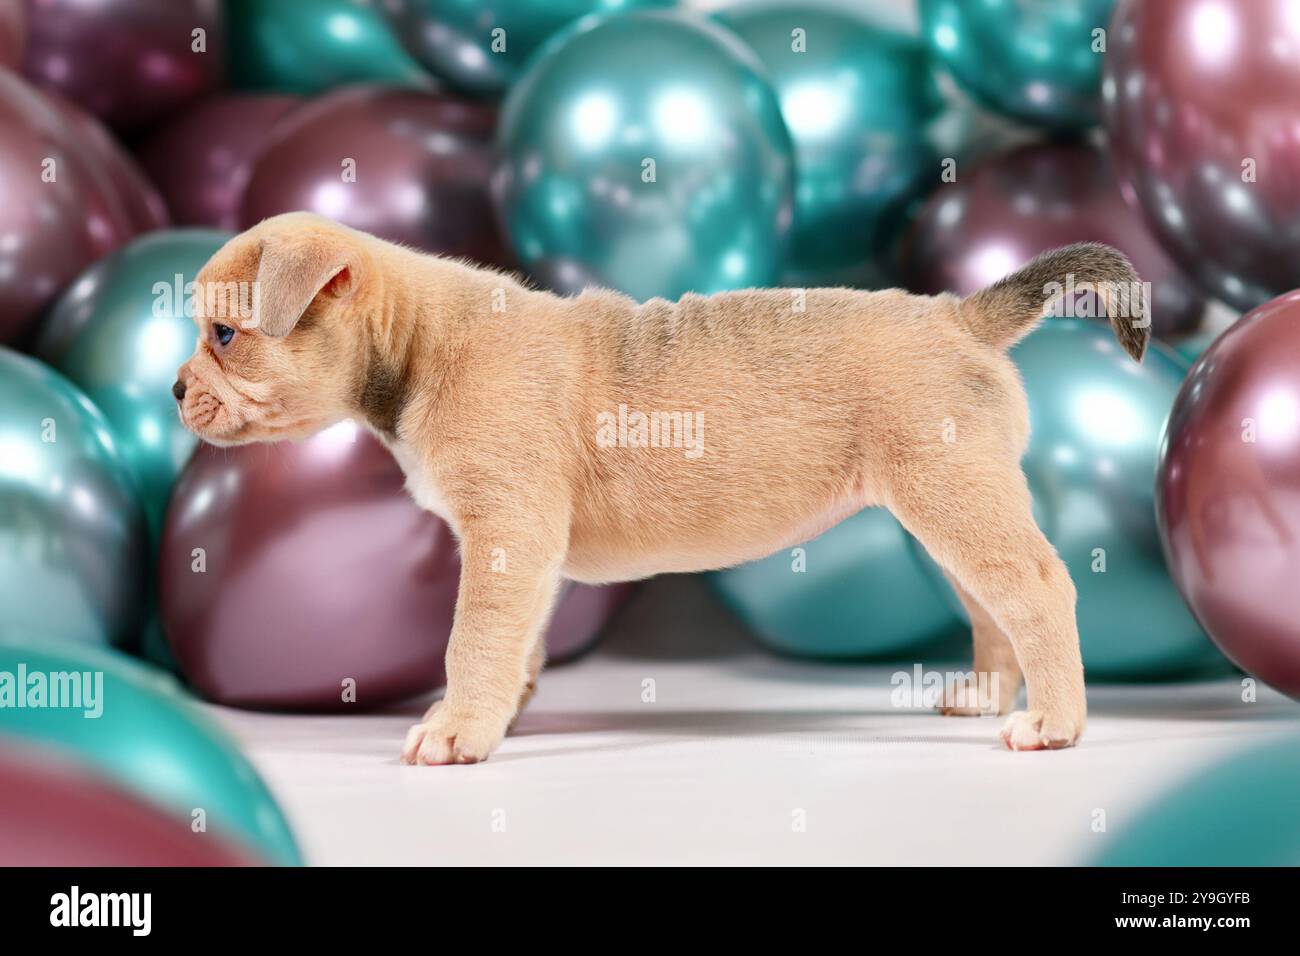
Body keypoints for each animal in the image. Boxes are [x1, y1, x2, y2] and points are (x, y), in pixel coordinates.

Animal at [172, 213, 1149, 764]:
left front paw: (457, 728)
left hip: (955, 500)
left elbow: (472, 641)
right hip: (948, 509)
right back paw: (989, 693)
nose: (176, 390)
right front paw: (501, 714)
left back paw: (1053, 722)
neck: (413, 340)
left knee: (1035, 591)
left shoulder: (503, 538)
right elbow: (518, 643)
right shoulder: (530, 557)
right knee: (991, 606)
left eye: (224, 334)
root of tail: (960, 316)